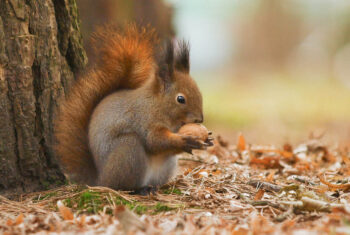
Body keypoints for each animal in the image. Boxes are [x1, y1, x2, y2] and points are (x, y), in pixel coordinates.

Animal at [53, 24, 209, 194]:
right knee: (122, 185)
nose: (200, 119)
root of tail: (99, 179)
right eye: (180, 99)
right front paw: (184, 140)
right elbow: (154, 141)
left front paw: (205, 140)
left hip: (165, 166)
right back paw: (141, 189)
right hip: (128, 151)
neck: (157, 105)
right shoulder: (145, 120)